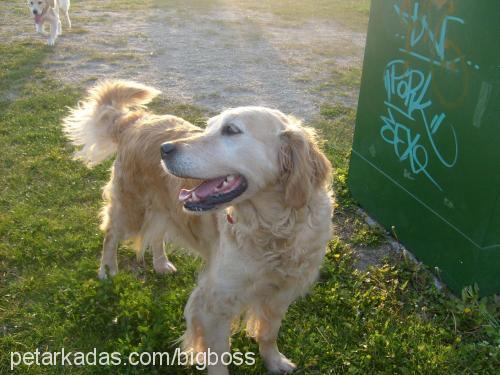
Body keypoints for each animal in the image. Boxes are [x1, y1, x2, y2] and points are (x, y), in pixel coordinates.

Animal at [64, 81, 334, 374]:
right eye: (209, 126)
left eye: (231, 130)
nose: (165, 149)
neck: (274, 231)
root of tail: (136, 119)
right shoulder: (214, 302)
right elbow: (218, 355)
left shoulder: (281, 292)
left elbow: (268, 333)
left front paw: (274, 361)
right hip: (131, 208)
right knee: (111, 233)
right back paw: (108, 269)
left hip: (165, 207)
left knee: (156, 235)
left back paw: (161, 263)